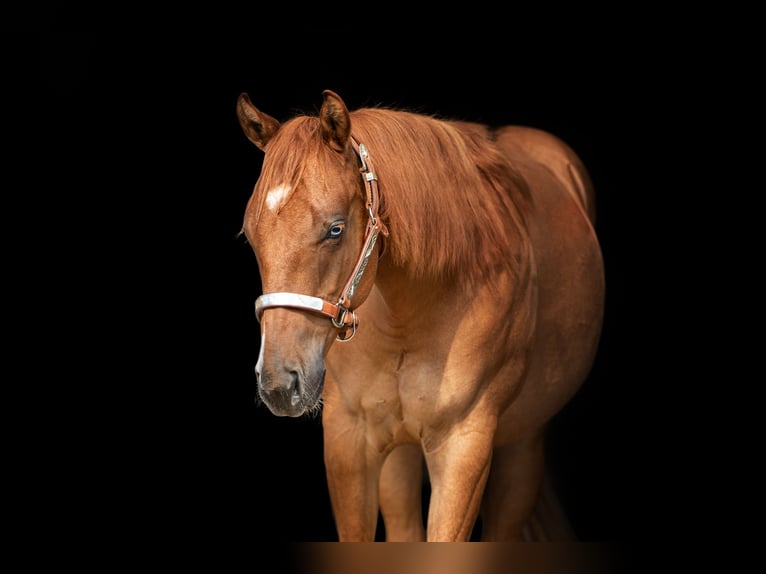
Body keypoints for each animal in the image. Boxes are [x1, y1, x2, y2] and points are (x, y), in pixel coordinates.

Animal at [236, 89, 605, 542]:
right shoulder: (348, 439)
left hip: (522, 447)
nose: (278, 384)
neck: (407, 318)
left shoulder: (463, 446)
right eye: (251, 235)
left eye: (336, 229)